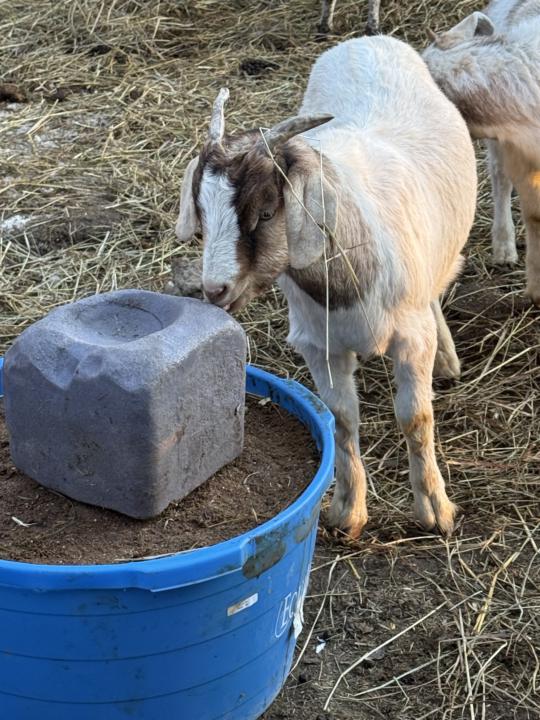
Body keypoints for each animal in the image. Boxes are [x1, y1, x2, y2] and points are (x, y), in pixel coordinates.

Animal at [175, 37, 477, 538]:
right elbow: (340, 418)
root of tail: (368, 39)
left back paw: (447, 360)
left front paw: (435, 510)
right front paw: (348, 512)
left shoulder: (410, 337)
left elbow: (415, 417)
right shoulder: (319, 343)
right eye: (201, 217)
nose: (215, 289)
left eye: (265, 213)